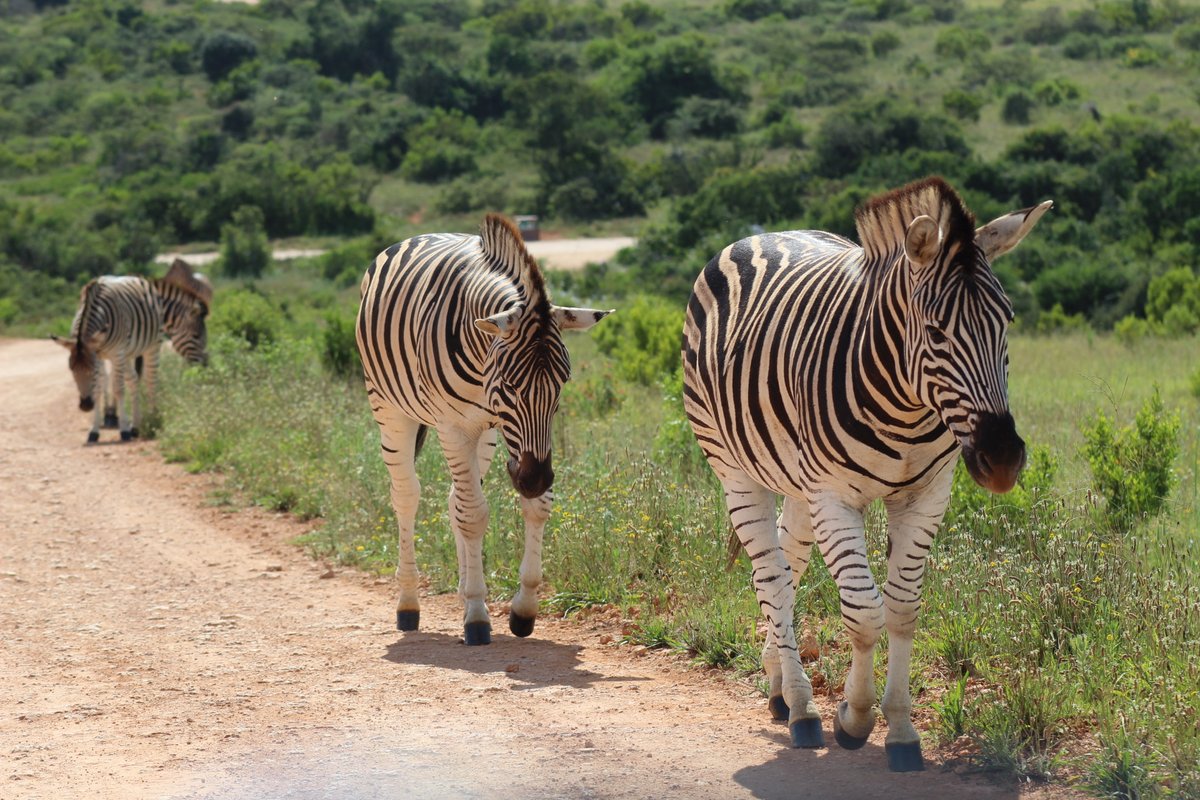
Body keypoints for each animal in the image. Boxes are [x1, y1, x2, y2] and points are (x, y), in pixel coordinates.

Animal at [52, 260, 211, 441]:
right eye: (71, 370)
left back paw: (151, 419)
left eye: (197, 335)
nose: (85, 406)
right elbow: (100, 387)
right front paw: (95, 430)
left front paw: (123, 429)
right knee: (133, 379)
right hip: (127, 353)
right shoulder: (100, 355)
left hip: (151, 346)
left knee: (150, 381)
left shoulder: (117, 353)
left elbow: (119, 388)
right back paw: (134, 425)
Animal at [352, 211, 614, 642]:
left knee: (454, 499)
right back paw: (409, 605)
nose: (533, 479)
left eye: (562, 384)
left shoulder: (508, 433)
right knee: (407, 496)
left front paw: (522, 607)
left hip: (485, 435)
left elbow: (532, 507)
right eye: (510, 384)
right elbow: (473, 515)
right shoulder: (454, 426)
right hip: (389, 407)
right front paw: (476, 616)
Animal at [686, 178, 1051, 772]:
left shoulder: (926, 495)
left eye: (1008, 321)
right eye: (935, 332)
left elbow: (902, 610)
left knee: (787, 565)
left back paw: (780, 688)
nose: (1001, 461)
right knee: (773, 579)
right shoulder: (834, 495)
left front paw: (901, 728)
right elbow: (863, 613)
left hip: (797, 483)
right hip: (735, 469)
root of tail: (761, 236)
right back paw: (804, 709)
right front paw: (854, 718)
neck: (907, 406)